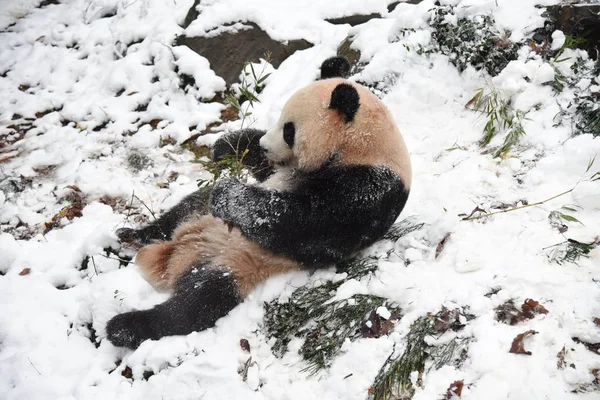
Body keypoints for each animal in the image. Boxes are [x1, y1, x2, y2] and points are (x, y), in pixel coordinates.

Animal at [105, 57, 410, 348]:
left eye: (289, 131)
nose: (265, 144)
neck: (360, 146)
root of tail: (178, 255)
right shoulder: (283, 168)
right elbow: (259, 164)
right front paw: (224, 148)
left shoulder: (369, 190)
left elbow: (301, 222)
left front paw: (230, 195)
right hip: (199, 215)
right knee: (180, 212)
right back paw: (134, 235)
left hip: (236, 264)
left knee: (194, 306)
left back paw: (123, 327)